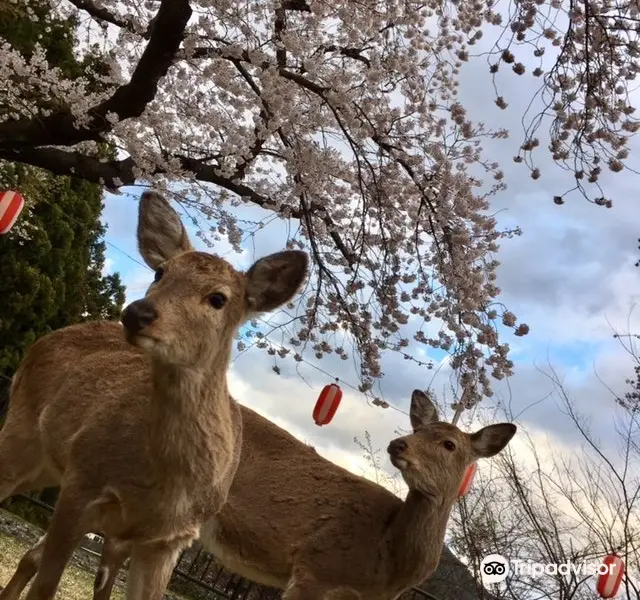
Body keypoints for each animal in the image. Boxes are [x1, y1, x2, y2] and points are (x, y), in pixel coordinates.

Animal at [0, 190, 308, 600]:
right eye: (161, 272)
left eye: (218, 298)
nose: (138, 313)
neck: (162, 486)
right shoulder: (82, 483)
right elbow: (45, 587)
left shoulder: (169, 539)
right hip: (20, 431)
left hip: (46, 466)